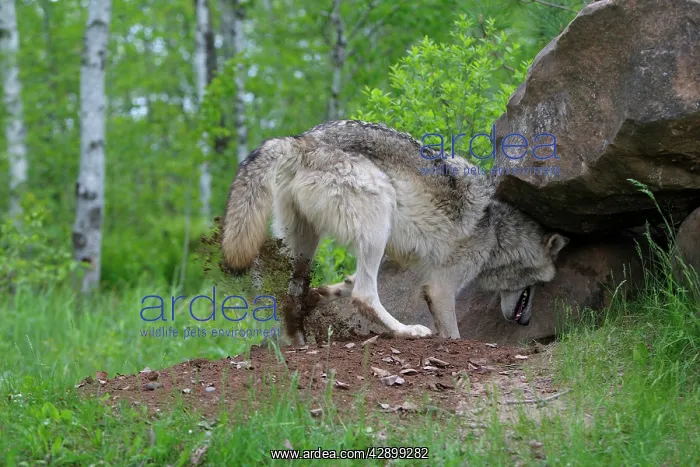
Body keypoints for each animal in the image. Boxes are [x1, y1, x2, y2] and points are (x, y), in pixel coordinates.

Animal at [221, 120, 569, 345]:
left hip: (307, 245)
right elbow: (454, 334)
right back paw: (406, 331)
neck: (496, 234)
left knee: (291, 295)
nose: (526, 322)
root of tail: (301, 140)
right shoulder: (440, 288)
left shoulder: (400, 258)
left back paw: (299, 341)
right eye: (540, 285)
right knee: (364, 295)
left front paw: (323, 294)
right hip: (378, 220)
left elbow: (343, 284)